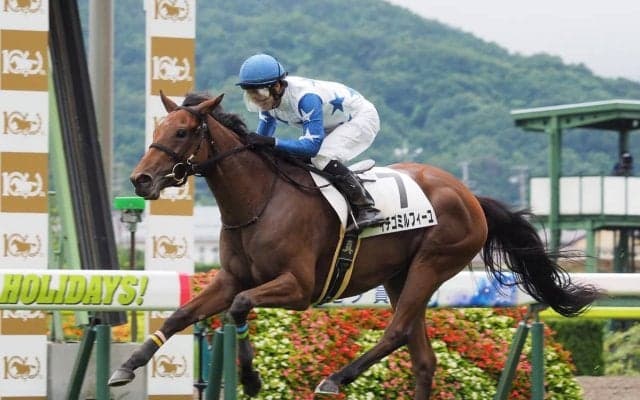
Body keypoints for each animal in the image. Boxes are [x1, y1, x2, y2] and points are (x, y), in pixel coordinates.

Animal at [108, 91, 601, 399]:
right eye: (159, 127)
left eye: (183, 132)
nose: (141, 179)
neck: (260, 200)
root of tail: (469, 195)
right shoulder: (231, 277)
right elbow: (183, 314)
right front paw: (127, 366)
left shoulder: (299, 288)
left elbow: (240, 306)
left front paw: (249, 378)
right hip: (402, 276)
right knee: (423, 359)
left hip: (433, 263)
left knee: (396, 332)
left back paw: (336, 378)